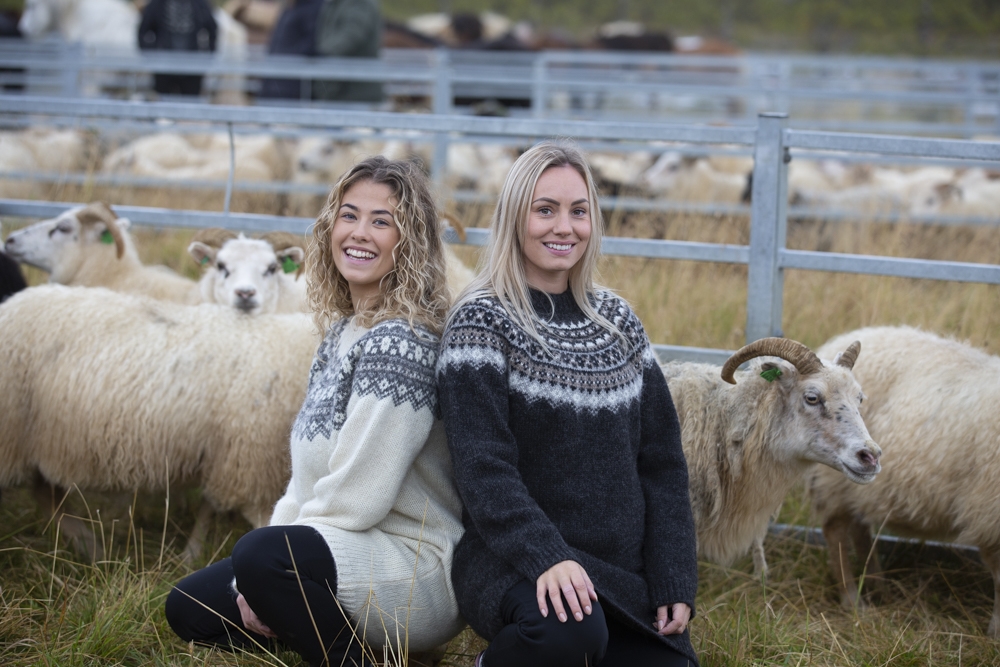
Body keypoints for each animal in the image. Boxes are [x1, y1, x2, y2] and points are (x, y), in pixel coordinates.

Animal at [0, 284, 320, 562]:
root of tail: (9, 305)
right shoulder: (249, 464)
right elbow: (266, 524)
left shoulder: (223, 455)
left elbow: (208, 508)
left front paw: (190, 553)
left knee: (47, 496)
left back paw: (93, 550)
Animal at [810, 326, 1000, 637]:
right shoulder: (988, 511)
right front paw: (996, 630)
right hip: (834, 480)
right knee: (836, 531)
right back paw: (852, 600)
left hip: (859, 485)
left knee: (860, 529)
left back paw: (878, 585)